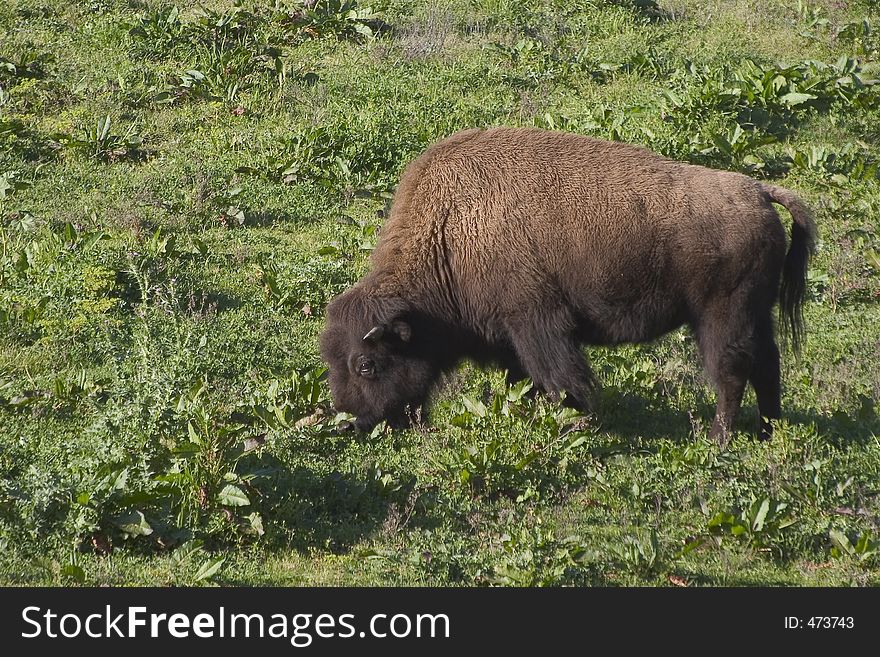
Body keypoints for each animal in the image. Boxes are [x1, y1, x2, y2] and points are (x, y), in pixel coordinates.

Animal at [318, 127, 820, 440]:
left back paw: (718, 439)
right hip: (757, 314)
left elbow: (563, 379)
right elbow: (525, 380)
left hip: (721, 316)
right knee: (767, 365)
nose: (349, 422)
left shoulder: (537, 325)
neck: (450, 231)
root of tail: (758, 191)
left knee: (730, 370)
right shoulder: (511, 340)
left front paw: (576, 422)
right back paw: (768, 431)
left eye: (366, 364)